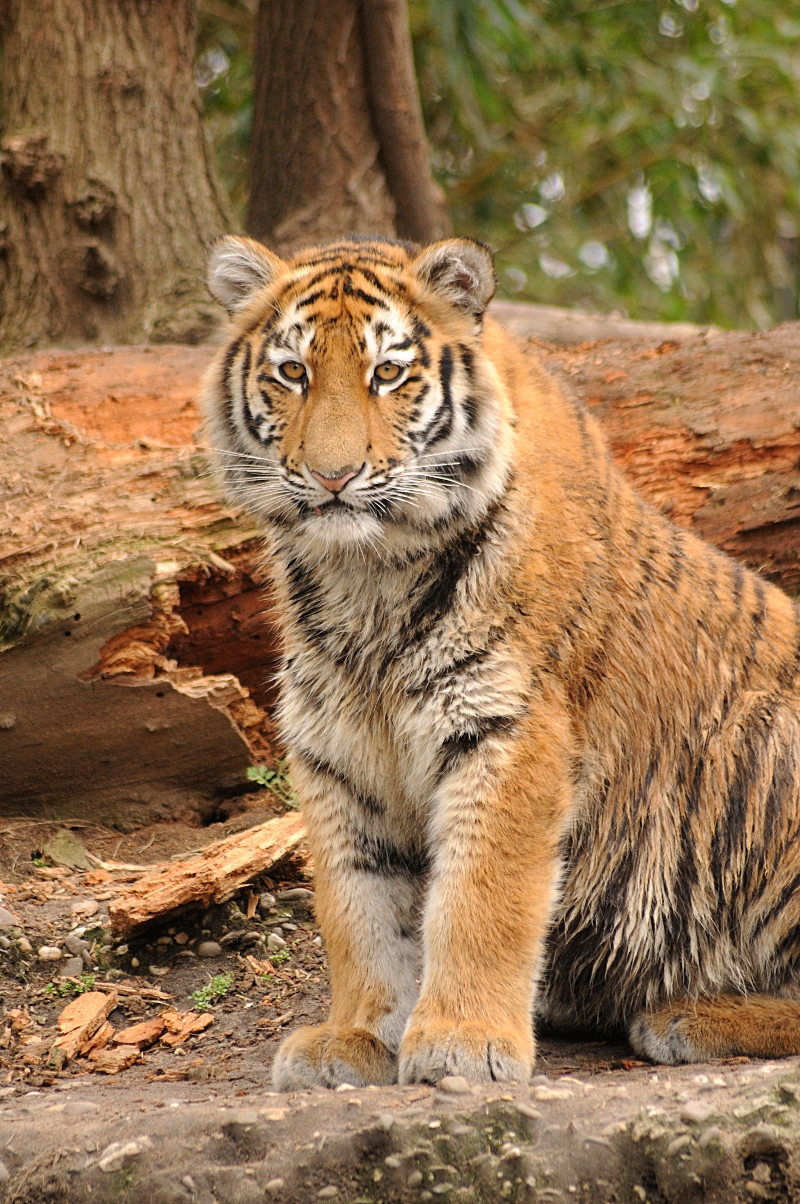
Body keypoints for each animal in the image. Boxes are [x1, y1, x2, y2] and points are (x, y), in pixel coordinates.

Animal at [202, 232, 800, 1088]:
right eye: (292, 373)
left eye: (388, 373)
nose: (332, 476)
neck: (365, 580)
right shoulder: (335, 750)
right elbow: (358, 908)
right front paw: (356, 1036)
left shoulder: (507, 729)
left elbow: (481, 896)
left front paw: (462, 1040)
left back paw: (686, 1015)